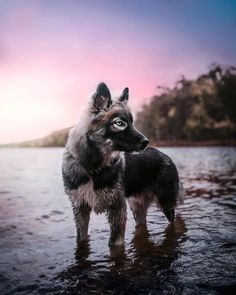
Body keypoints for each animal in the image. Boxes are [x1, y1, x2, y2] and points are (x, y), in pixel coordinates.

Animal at [61, 82, 183, 247]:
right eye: (119, 123)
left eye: (132, 122)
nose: (146, 142)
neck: (94, 167)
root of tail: (166, 156)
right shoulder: (81, 209)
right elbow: (81, 238)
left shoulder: (117, 208)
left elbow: (115, 243)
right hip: (137, 207)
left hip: (166, 203)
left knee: (173, 222)